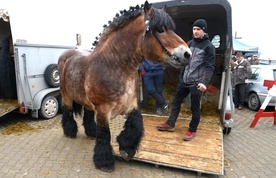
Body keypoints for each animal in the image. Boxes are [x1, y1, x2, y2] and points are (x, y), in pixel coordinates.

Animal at [57, 0, 192, 172]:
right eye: (160, 30)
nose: (187, 54)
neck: (113, 66)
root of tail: (66, 55)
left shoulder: (131, 105)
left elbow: (136, 124)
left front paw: (126, 148)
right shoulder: (103, 111)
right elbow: (104, 134)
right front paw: (104, 161)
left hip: (86, 101)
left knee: (87, 114)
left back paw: (91, 132)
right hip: (66, 95)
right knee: (67, 112)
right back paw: (70, 131)